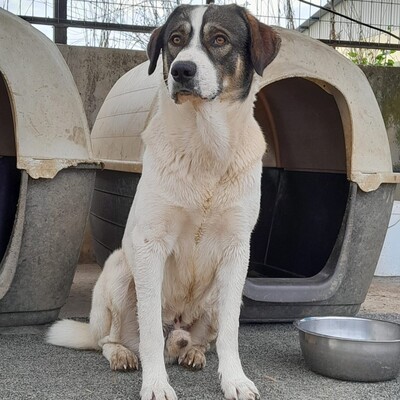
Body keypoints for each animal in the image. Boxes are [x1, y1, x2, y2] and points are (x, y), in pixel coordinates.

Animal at [47, 3, 280, 400]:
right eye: (176, 39)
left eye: (220, 39)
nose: (181, 70)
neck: (206, 148)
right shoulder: (150, 244)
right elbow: (151, 334)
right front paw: (156, 384)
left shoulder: (237, 251)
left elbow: (230, 333)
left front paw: (234, 379)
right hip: (120, 269)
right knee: (113, 339)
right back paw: (122, 353)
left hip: (219, 295)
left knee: (201, 339)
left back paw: (193, 352)